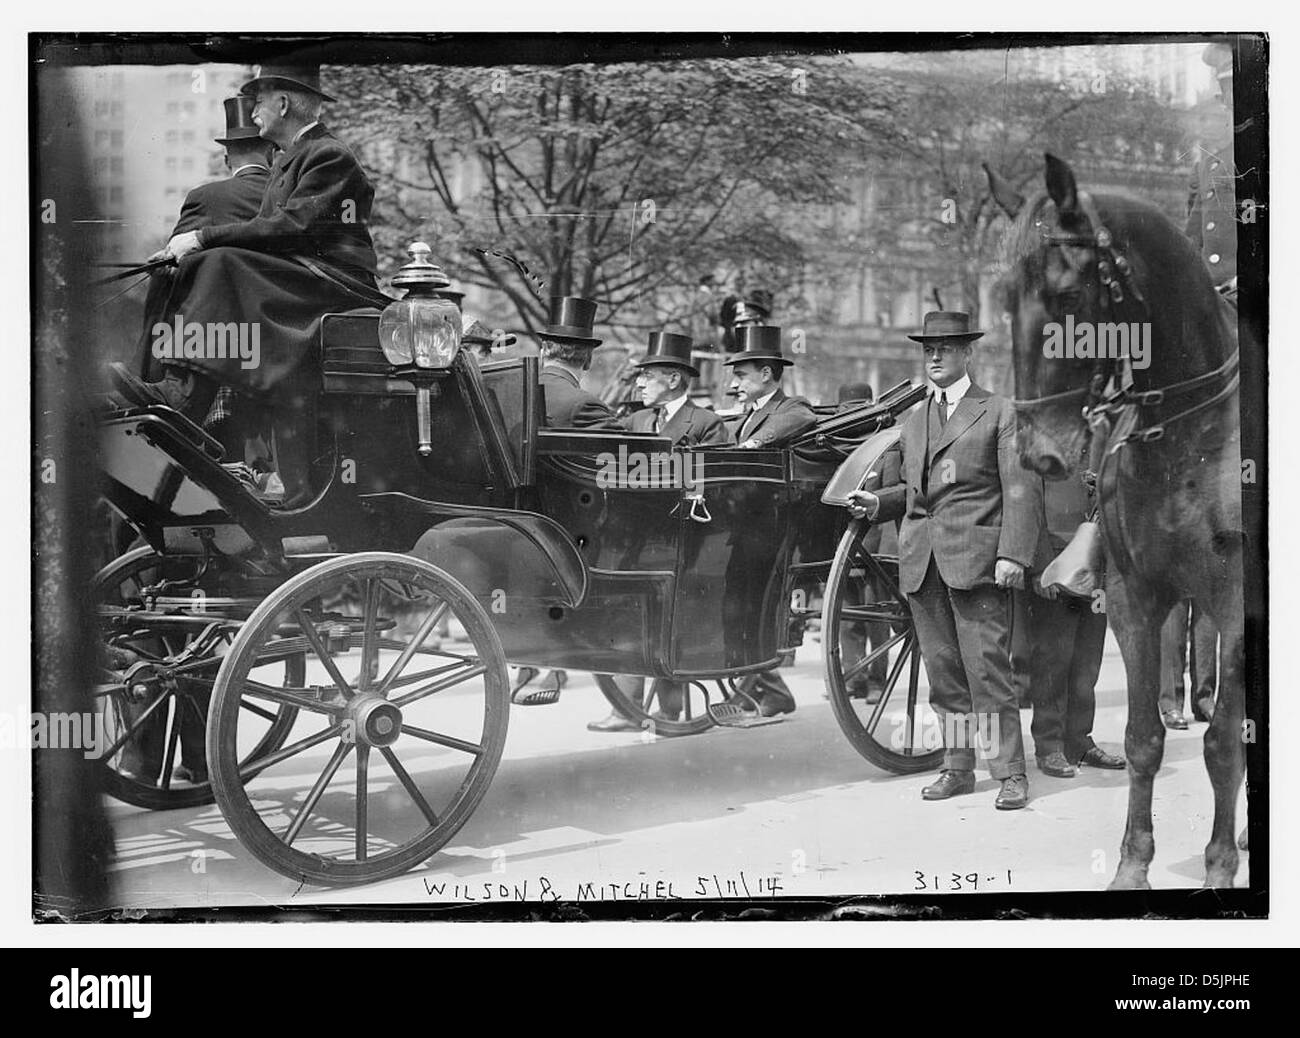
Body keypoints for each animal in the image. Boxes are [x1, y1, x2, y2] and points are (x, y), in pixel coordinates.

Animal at [987, 150, 1253, 889]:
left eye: (1066, 296)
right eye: (1005, 300)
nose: (1038, 453)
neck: (1189, 431)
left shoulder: (1235, 603)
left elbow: (1224, 743)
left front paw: (1219, 867)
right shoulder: (1137, 600)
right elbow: (1142, 740)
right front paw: (1132, 867)